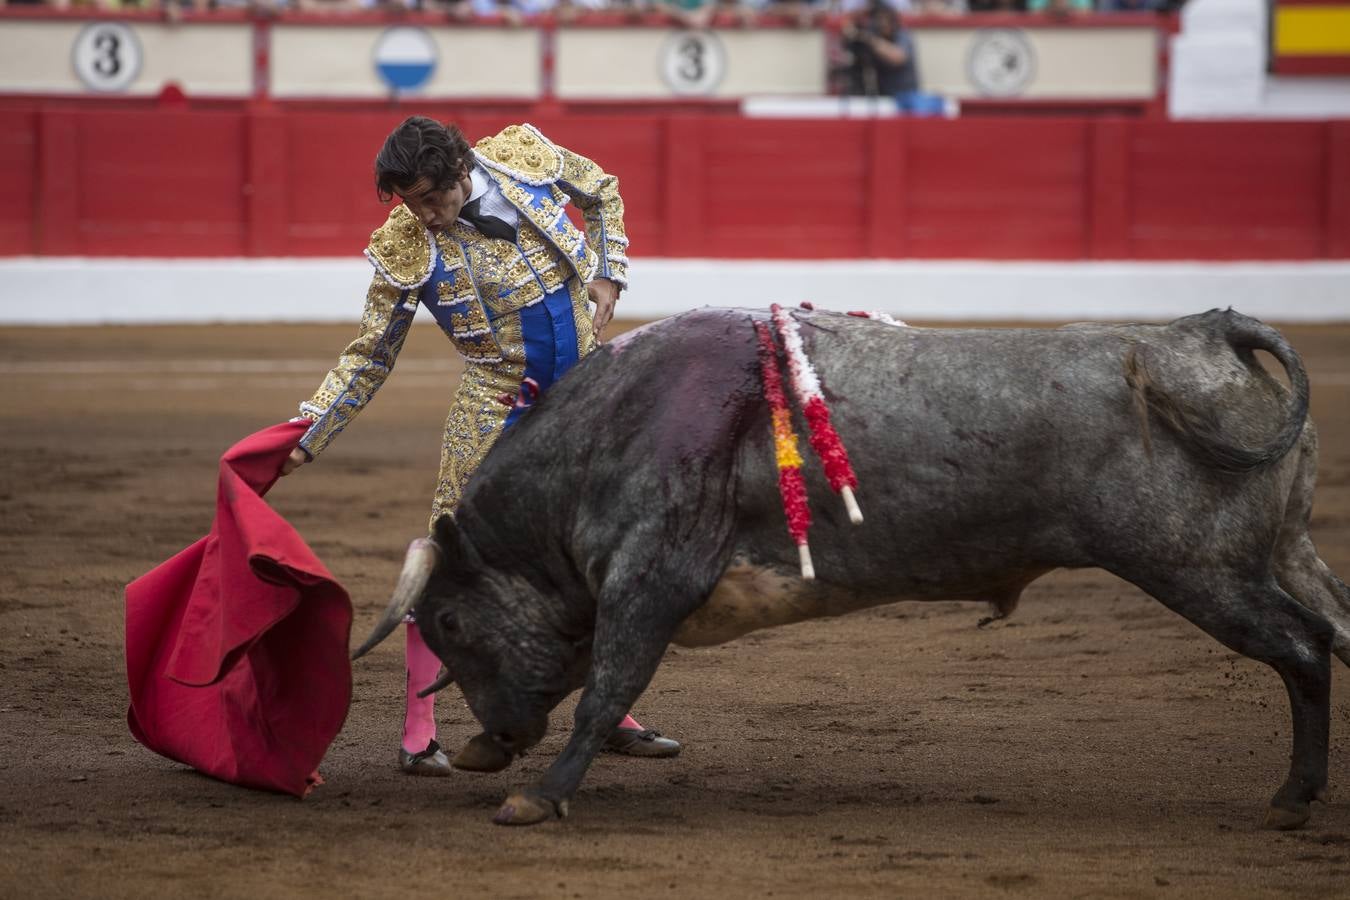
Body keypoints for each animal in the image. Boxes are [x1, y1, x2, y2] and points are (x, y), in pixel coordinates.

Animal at [351, 307, 1350, 831]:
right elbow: (593, 673)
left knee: (1302, 649)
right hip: (1285, 551)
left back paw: (1291, 800)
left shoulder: (652, 579)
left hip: (1195, 566)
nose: (492, 736)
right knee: (1336, 628)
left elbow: (604, 685)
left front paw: (540, 796)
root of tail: (1202, 336)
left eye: (450, 620)